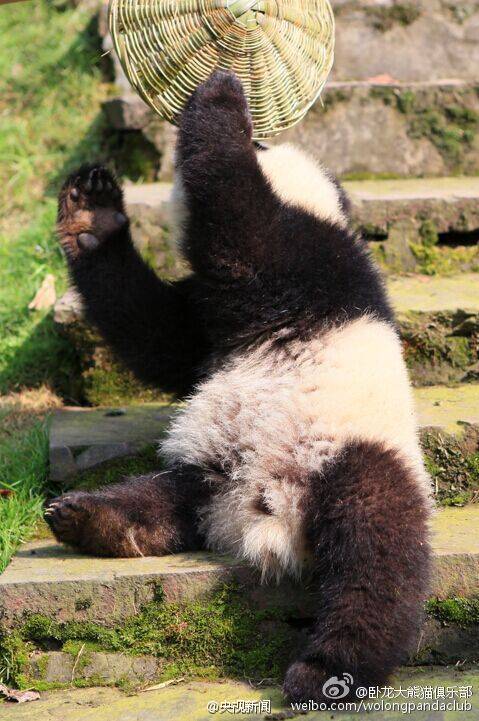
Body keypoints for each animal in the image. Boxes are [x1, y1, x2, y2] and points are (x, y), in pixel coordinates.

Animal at [46, 71, 432, 704]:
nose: (264, 134)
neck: (314, 205)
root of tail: (266, 514)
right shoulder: (206, 324)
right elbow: (156, 335)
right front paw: (91, 212)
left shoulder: (302, 259)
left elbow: (235, 215)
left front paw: (223, 95)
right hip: (210, 464)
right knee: (164, 498)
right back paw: (91, 517)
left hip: (354, 456)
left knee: (377, 558)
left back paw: (328, 670)